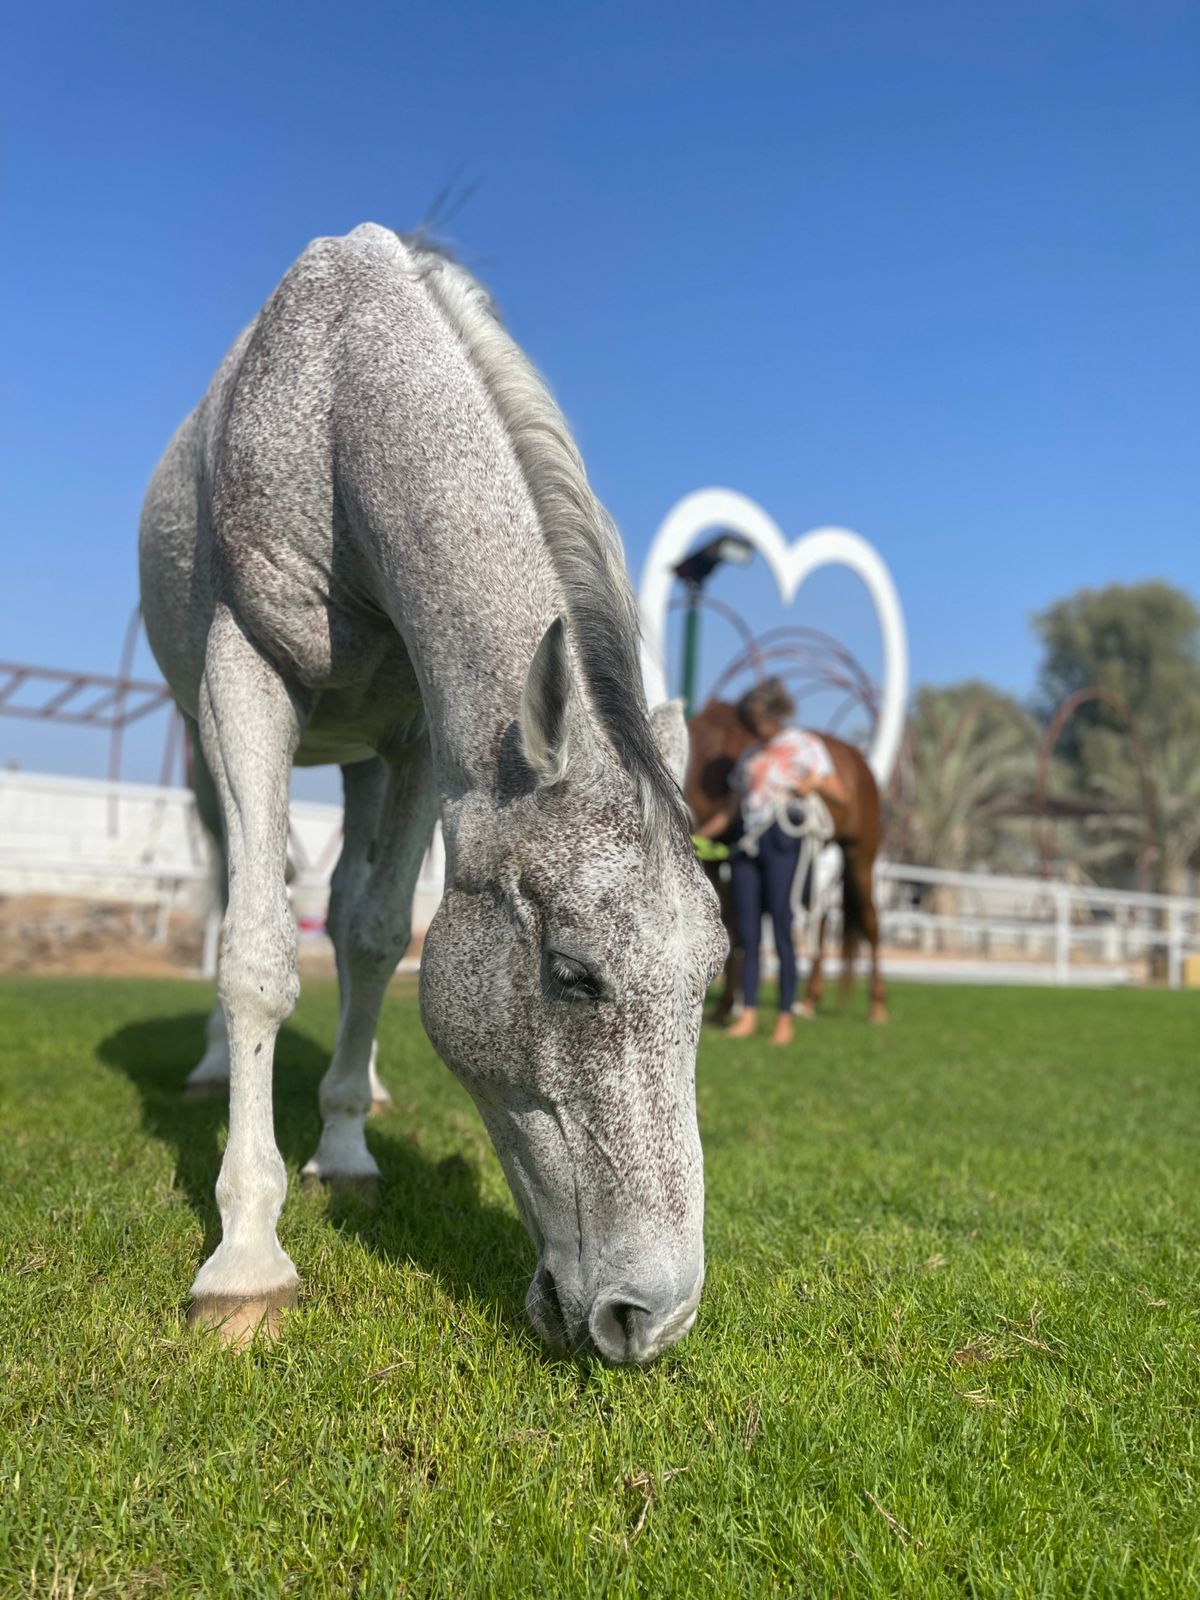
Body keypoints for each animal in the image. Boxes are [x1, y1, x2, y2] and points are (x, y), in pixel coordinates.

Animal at [137, 225, 729, 1363]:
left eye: (712, 977)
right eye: (572, 974)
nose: (657, 1316)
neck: (337, 398)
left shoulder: (420, 741)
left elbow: (373, 937)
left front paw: (347, 1153)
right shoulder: (244, 677)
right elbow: (257, 956)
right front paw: (245, 1260)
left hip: (364, 760)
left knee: (347, 915)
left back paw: (358, 1089)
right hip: (202, 740)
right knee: (231, 889)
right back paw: (212, 1066)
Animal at [681, 700, 889, 1024]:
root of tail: (860, 763)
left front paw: (731, 1005)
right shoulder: (716, 858)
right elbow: (733, 923)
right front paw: (727, 1005)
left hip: (859, 856)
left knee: (869, 920)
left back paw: (877, 1006)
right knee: (820, 919)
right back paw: (809, 1000)